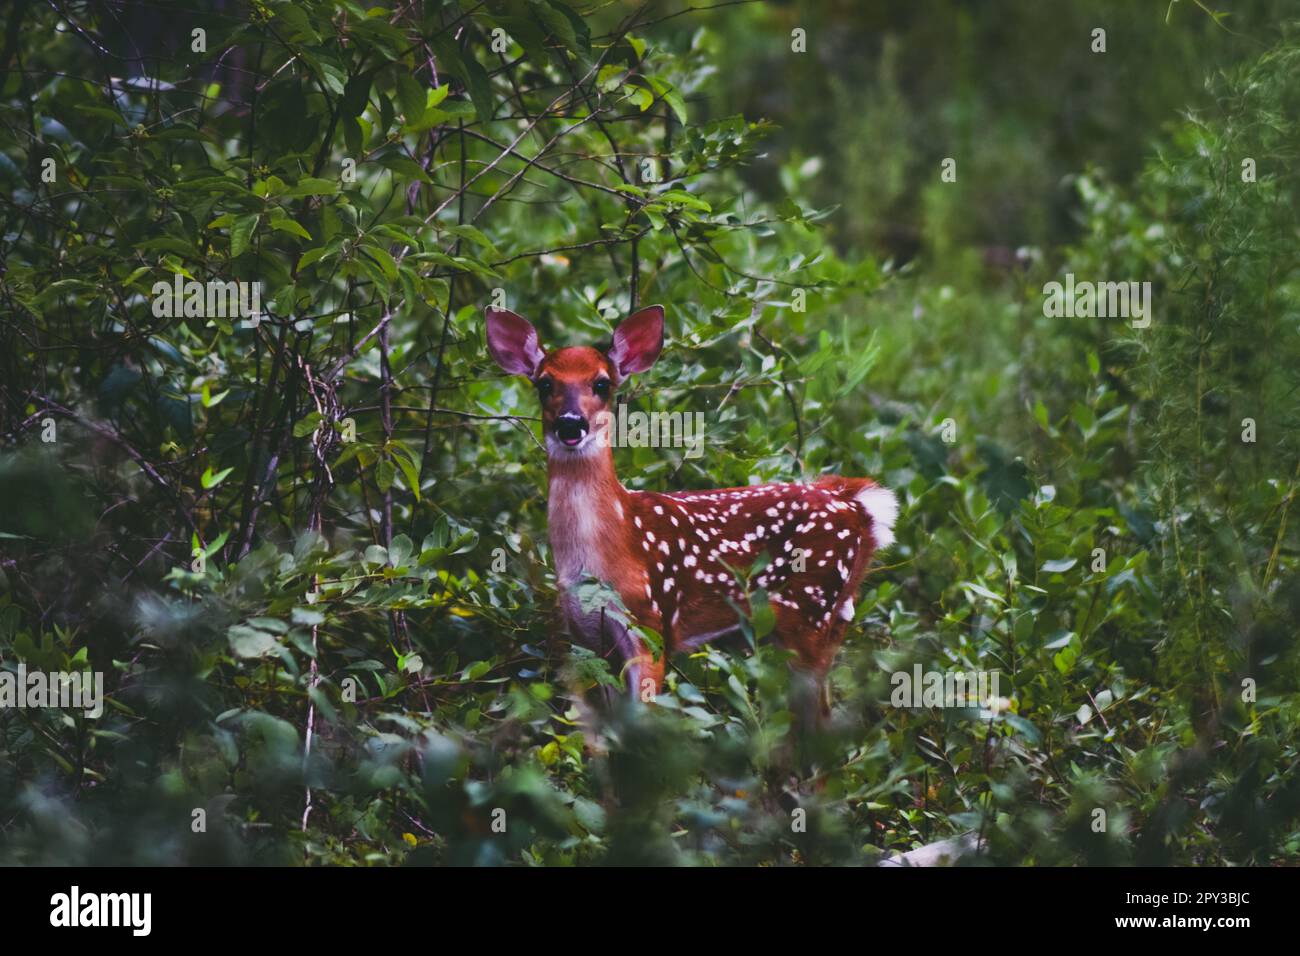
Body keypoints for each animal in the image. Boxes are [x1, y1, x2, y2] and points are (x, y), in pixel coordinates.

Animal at [486, 304, 898, 718]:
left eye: (602, 384)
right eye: (544, 384)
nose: (571, 424)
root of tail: (856, 503)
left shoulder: (652, 621)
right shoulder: (587, 635)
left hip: (810, 605)